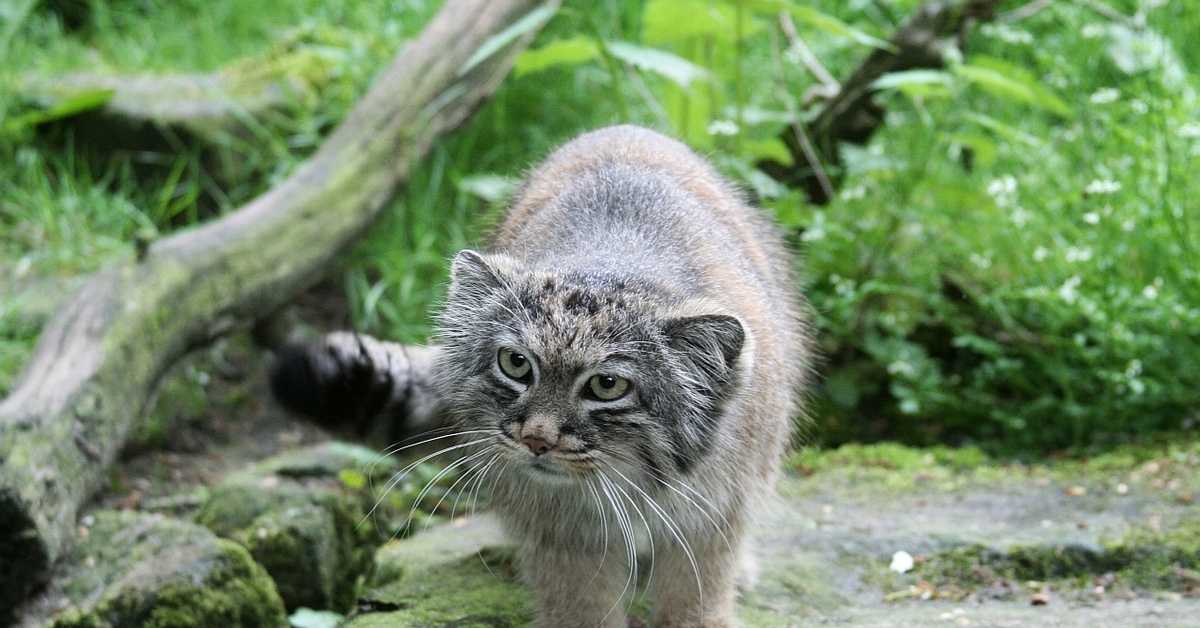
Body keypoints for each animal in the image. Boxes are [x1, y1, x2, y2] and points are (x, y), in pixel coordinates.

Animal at [270, 125, 816, 624]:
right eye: (515, 363)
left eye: (607, 385)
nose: (536, 439)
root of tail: (625, 127)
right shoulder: (561, 535)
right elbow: (580, 609)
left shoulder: (713, 513)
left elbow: (695, 600)